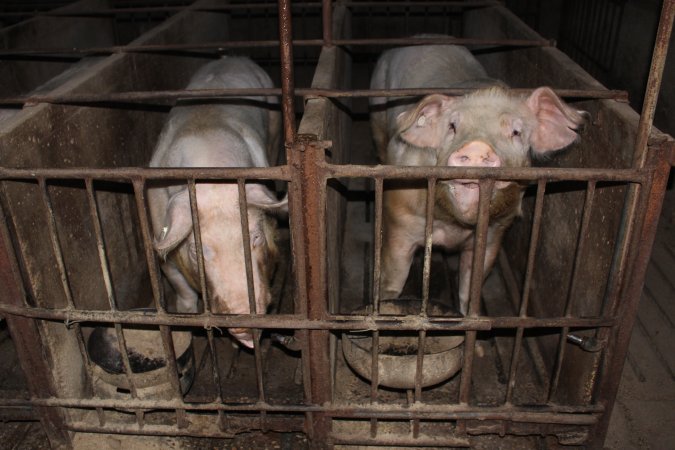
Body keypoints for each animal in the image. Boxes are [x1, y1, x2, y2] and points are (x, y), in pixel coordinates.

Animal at [148, 57, 286, 348]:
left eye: (255, 237)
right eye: (197, 251)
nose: (244, 324)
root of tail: (232, 57)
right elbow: (180, 285)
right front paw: (186, 316)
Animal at [370, 44, 588, 314]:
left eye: (516, 132)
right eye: (452, 126)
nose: (476, 147)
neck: (453, 227)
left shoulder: (495, 231)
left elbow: (470, 287)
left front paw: (468, 314)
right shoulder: (400, 219)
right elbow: (394, 277)